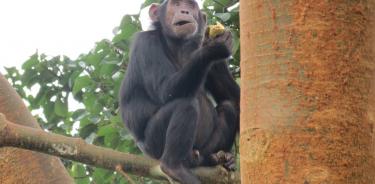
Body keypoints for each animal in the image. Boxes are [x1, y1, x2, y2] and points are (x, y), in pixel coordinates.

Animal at [119, 0, 239, 183]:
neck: (179, 45)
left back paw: (220, 159)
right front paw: (214, 47)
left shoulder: (216, 64)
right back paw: (173, 168)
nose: (184, 11)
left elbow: (232, 96)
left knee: (228, 108)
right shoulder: (146, 43)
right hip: (154, 145)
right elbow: (165, 89)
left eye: (190, 6)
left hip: (202, 150)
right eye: (175, 4)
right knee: (185, 104)